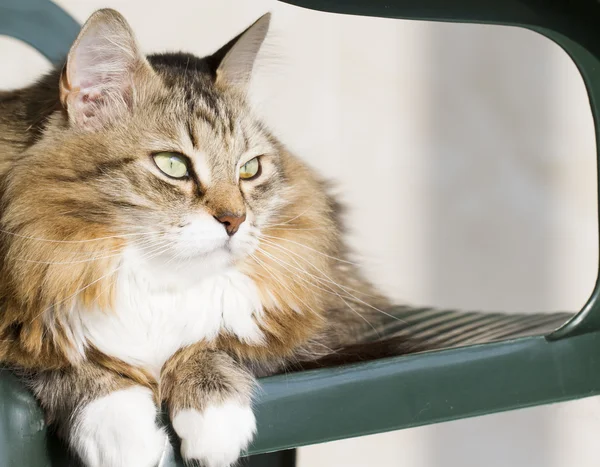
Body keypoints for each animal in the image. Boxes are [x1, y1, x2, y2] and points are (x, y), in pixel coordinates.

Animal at [1, 8, 404, 467]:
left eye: (249, 169)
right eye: (172, 165)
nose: (235, 220)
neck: (154, 281)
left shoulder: (315, 326)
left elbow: (217, 343)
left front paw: (213, 419)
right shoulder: (21, 324)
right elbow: (67, 362)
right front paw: (121, 432)